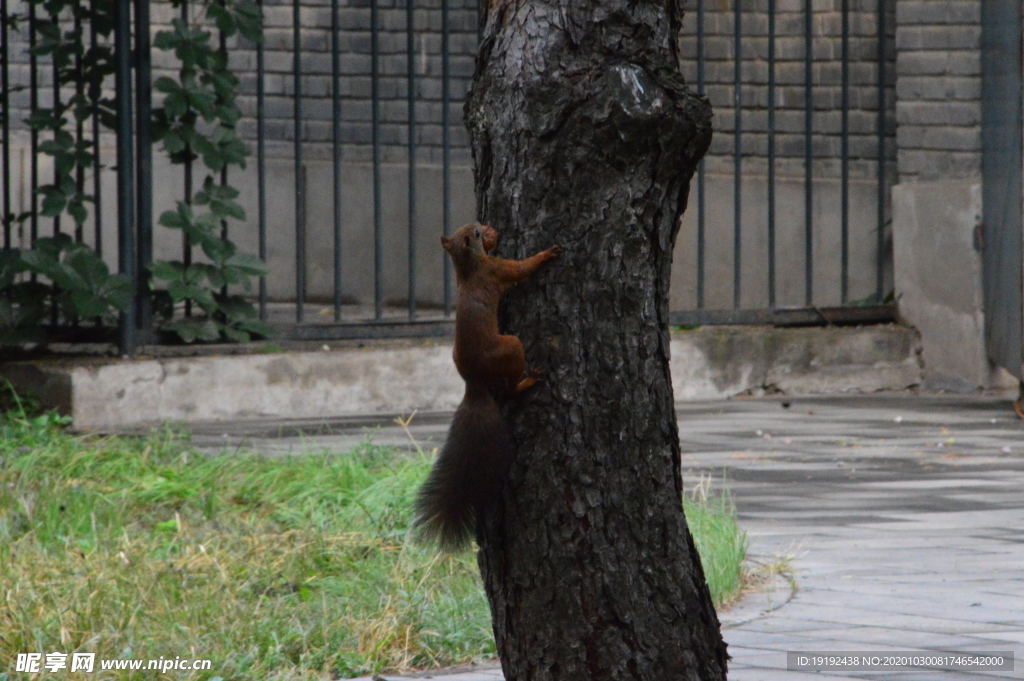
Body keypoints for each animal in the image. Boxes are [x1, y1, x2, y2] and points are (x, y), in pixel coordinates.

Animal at [411, 220, 565, 548]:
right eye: (477, 233)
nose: (489, 227)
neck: (468, 265)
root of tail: (474, 382)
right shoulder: (498, 269)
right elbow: (521, 269)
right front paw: (546, 254)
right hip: (511, 347)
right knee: (509, 388)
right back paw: (528, 381)